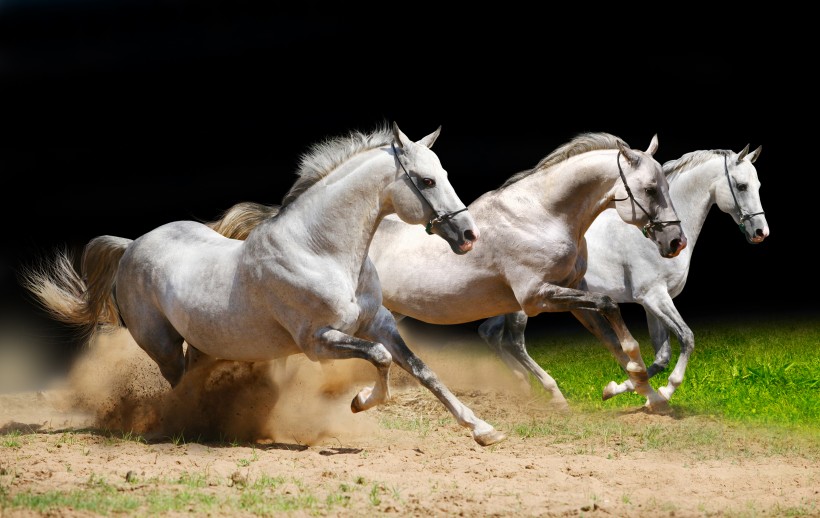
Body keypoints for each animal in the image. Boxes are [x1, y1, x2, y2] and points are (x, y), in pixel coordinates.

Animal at [20, 122, 506, 446]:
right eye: (426, 180)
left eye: (444, 174)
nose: (468, 235)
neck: (320, 250)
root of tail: (132, 245)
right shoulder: (318, 341)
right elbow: (382, 360)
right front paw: (359, 402)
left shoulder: (378, 323)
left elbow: (422, 370)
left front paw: (483, 430)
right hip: (161, 345)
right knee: (178, 386)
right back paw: (183, 427)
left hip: (203, 344)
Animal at [203, 134, 684, 414]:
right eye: (649, 189)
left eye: (664, 184)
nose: (675, 242)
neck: (542, 214)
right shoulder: (537, 297)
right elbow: (611, 312)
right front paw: (638, 381)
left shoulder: (570, 290)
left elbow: (612, 333)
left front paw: (647, 394)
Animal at [480, 146, 768, 406]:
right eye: (741, 186)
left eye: (758, 185)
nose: (760, 232)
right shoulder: (655, 297)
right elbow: (686, 338)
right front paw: (664, 391)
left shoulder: (652, 303)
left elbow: (661, 356)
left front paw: (623, 390)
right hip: (526, 305)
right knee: (514, 342)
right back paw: (549, 390)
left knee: (490, 334)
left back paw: (522, 385)